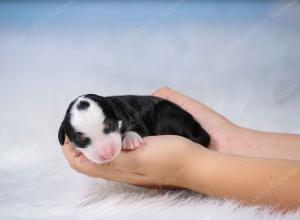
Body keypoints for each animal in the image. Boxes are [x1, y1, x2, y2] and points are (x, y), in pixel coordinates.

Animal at [57, 93, 210, 164]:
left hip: (168, 116)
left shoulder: (135, 118)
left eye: (110, 126)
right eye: (81, 140)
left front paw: (130, 140)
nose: (107, 154)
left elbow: (137, 129)